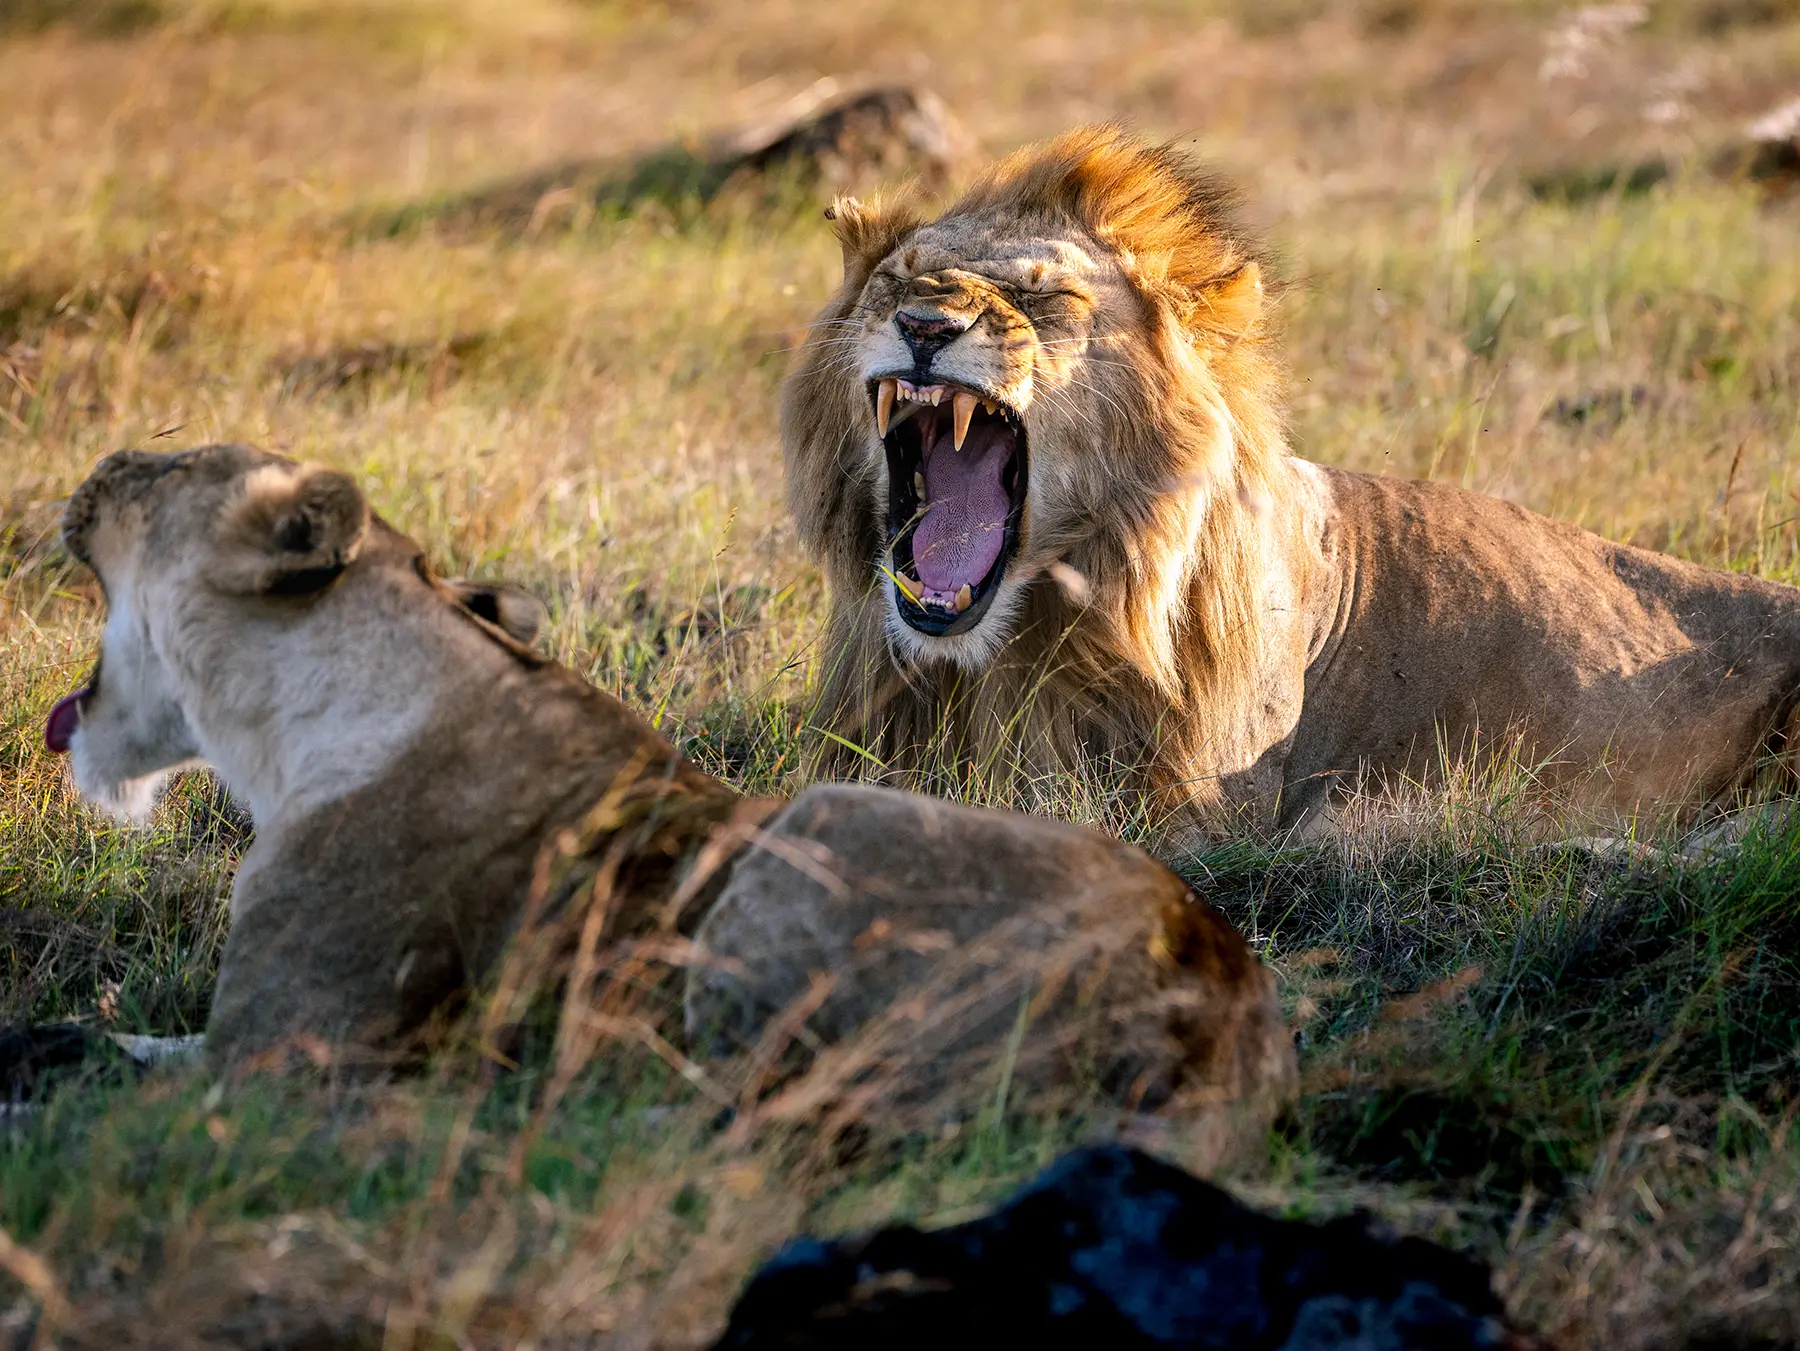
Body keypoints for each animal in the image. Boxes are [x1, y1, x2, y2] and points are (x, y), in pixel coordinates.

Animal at [41, 444, 1294, 1129]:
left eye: (165, 469)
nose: (98, 464)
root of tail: (1233, 1009)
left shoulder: (283, 1053)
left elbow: (97, 1056)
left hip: (806, 840)